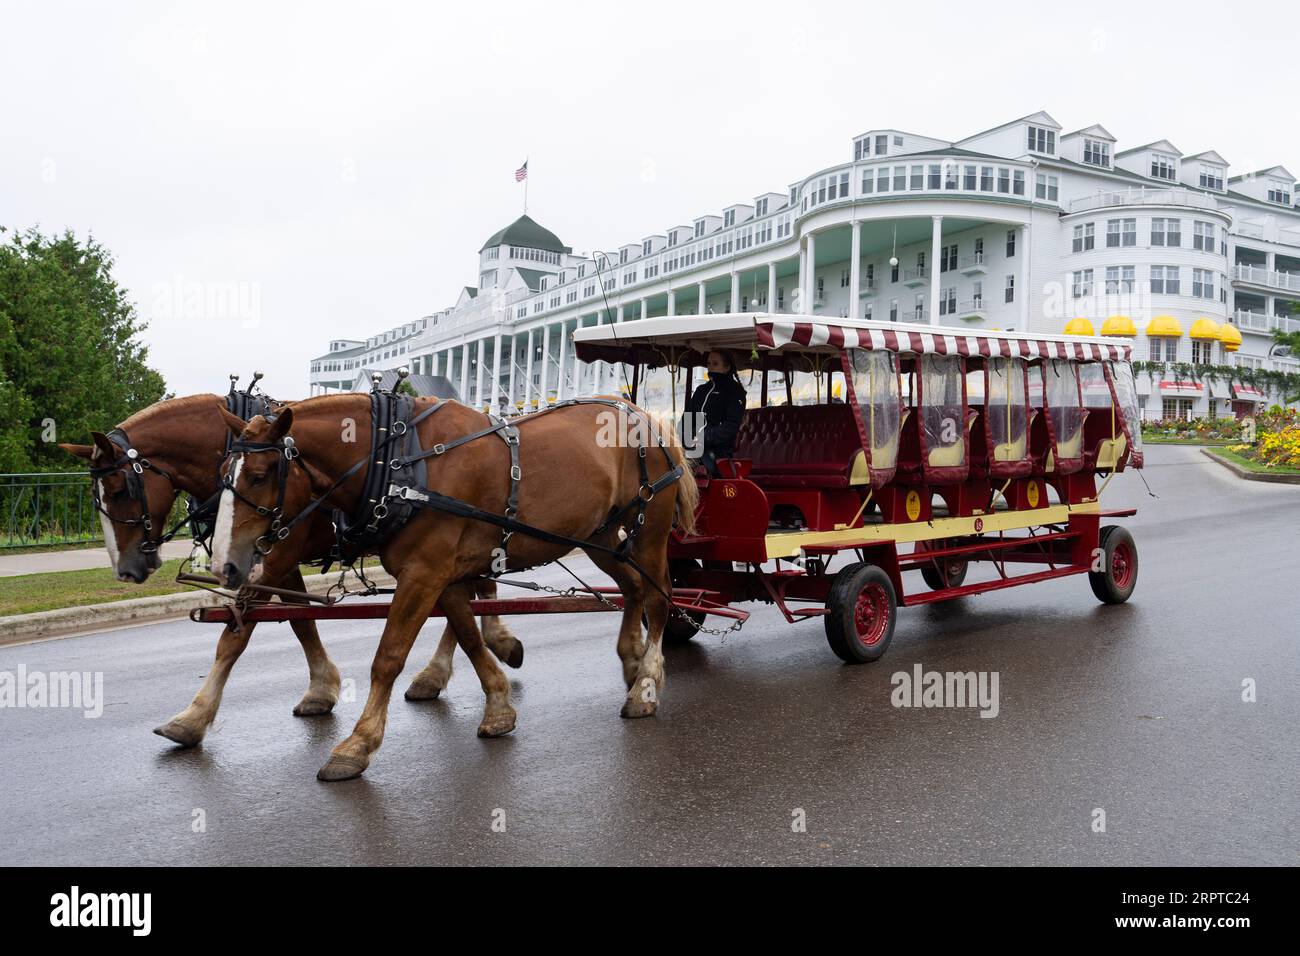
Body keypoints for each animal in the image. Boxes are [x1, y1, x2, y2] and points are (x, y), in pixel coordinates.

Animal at [59, 395, 517, 749]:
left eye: (119, 490)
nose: (126, 570)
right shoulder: (272, 555)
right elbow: (302, 622)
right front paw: (321, 687)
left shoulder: (279, 551)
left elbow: (237, 634)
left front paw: (193, 717)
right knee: (466, 595)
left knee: (475, 590)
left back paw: (475, 653)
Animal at [214, 392, 702, 780]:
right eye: (224, 473)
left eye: (259, 474)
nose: (225, 565)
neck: (401, 462)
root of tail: (644, 416)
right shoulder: (439, 575)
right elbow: (467, 635)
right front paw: (499, 705)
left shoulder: (424, 572)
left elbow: (388, 658)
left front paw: (357, 745)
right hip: (600, 538)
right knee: (633, 590)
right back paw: (632, 661)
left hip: (650, 532)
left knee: (659, 599)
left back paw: (646, 685)